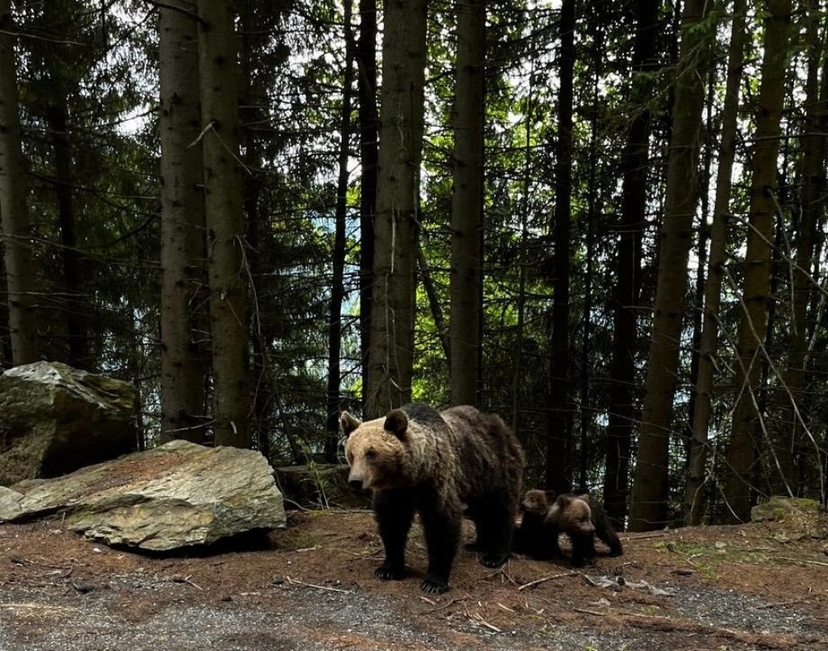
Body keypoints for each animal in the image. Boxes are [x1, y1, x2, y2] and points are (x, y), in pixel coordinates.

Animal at [340, 403, 524, 594]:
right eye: (351, 454)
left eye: (371, 453)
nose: (355, 481)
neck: (412, 475)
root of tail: (503, 425)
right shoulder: (395, 492)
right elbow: (392, 523)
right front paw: (388, 569)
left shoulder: (436, 482)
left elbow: (441, 524)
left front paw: (434, 582)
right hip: (477, 479)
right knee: (480, 511)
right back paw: (477, 544)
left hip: (498, 469)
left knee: (500, 510)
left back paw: (494, 556)